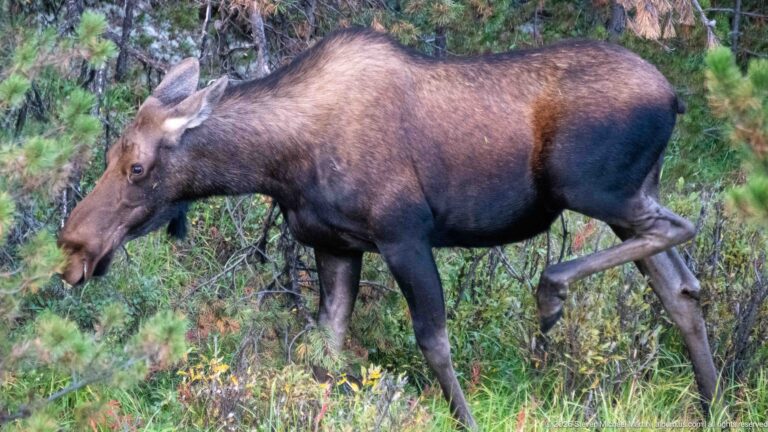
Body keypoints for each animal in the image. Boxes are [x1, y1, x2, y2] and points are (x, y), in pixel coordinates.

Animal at [58, 28, 719, 429]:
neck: (279, 165)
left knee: (681, 230)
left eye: (138, 167)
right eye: (112, 153)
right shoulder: (334, 246)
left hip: (596, 190)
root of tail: (675, 98)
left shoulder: (404, 236)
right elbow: (326, 347)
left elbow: (433, 341)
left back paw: (552, 292)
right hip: (623, 198)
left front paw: (466, 418)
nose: (74, 247)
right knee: (680, 289)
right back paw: (713, 404)